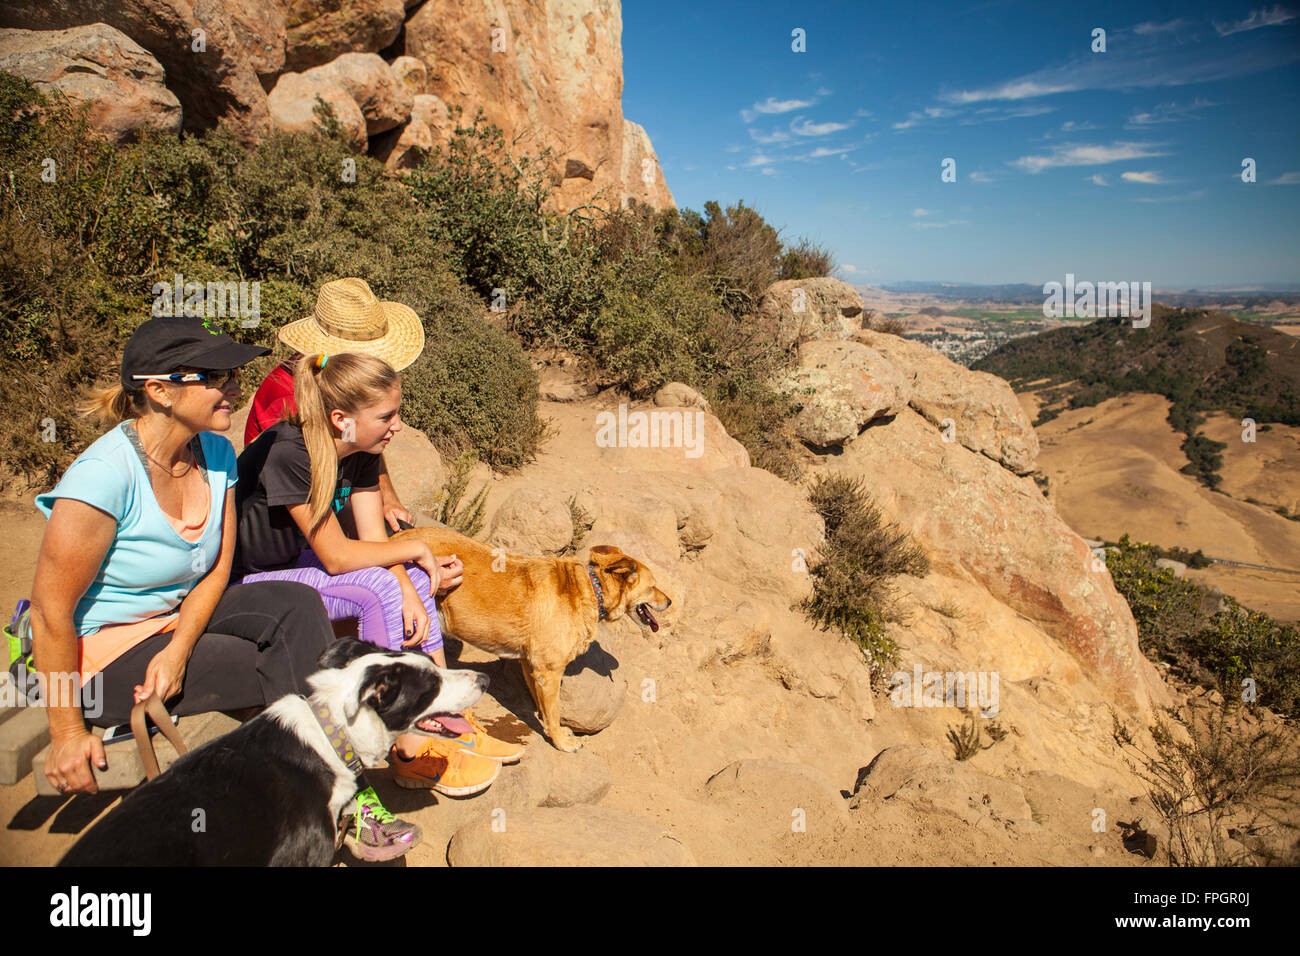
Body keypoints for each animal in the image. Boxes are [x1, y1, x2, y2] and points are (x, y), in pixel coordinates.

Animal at [387, 528, 670, 749]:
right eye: (653, 586)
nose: (669, 601)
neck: (591, 588)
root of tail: (396, 537)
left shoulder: (530, 665)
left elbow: (543, 706)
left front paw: (550, 729)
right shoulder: (549, 671)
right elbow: (554, 710)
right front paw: (561, 742)